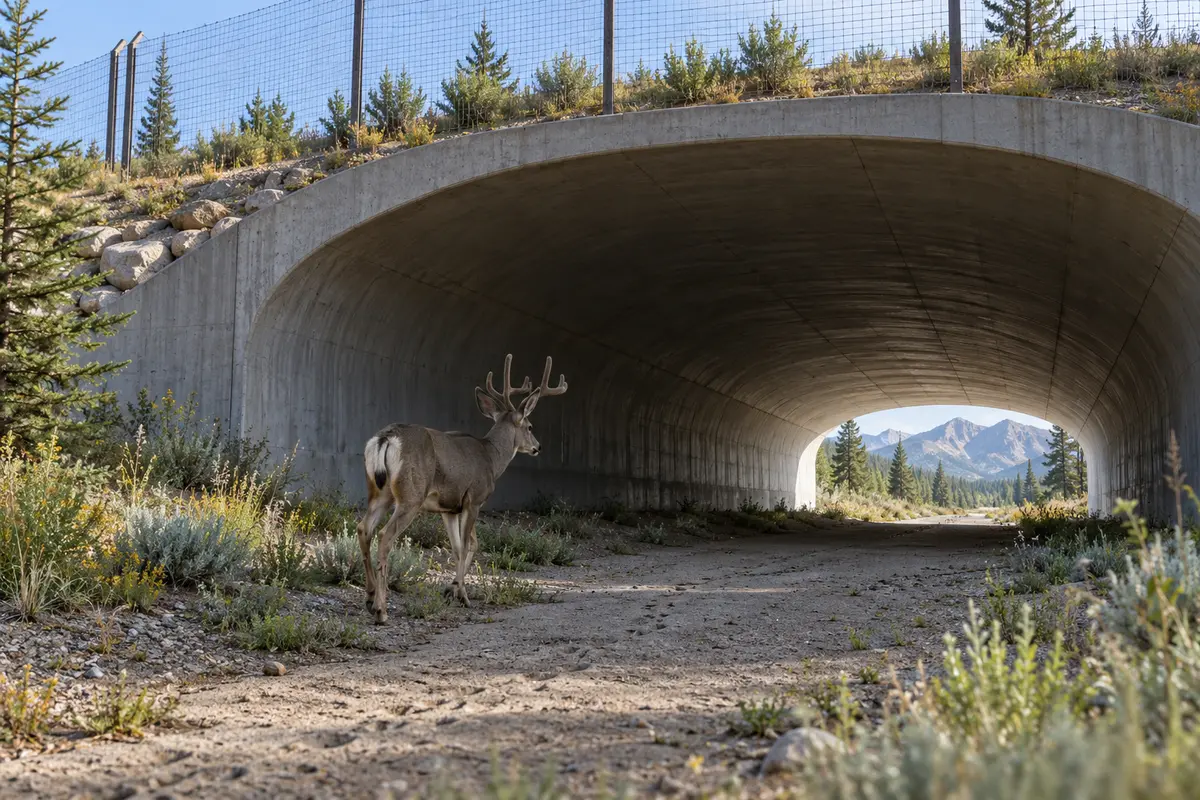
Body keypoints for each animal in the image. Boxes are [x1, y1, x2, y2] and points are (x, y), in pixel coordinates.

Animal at [355, 354, 568, 624]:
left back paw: (370, 597)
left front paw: (452, 589)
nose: (538, 447)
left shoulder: (450, 507)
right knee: (384, 535)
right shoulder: (474, 498)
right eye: (530, 426)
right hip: (411, 495)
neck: (491, 458)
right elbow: (469, 544)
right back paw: (381, 610)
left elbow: (459, 547)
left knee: (363, 528)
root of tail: (385, 438)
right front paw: (463, 596)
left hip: (379, 492)